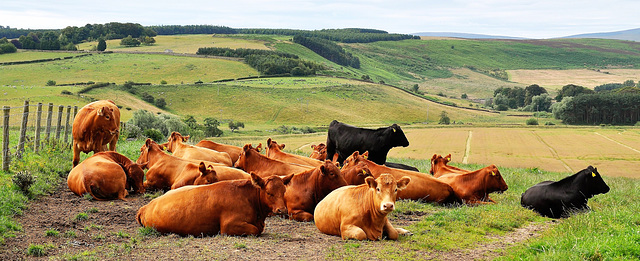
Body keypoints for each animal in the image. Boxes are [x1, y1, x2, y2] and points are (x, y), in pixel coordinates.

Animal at [139, 173, 294, 236]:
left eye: (284, 191)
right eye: (269, 193)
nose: (282, 210)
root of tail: (146, 206)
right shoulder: (229, 226)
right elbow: (255, 230)